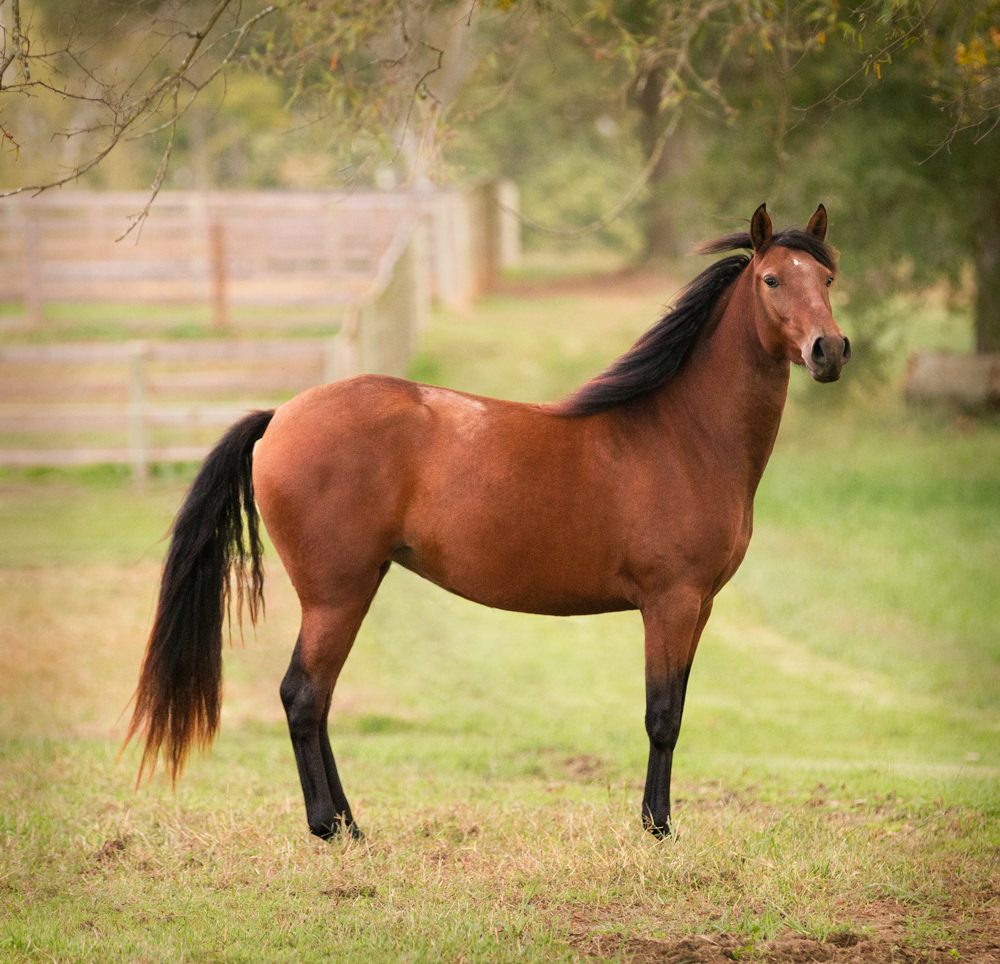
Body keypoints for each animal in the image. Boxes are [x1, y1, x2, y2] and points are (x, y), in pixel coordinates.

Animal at [121, 203, 848, 836]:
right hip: (335, 595)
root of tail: (280, 416)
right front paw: (657, 826)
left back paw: (351, 825)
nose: (829, 350)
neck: (683, 432)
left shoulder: (699, 607)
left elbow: (676, 708)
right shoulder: (671, 602)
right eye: (772, 279)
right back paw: (328, 827)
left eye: (828, 278)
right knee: (303, 695)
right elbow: (662, 715)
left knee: (319, 699)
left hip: (353, 590)